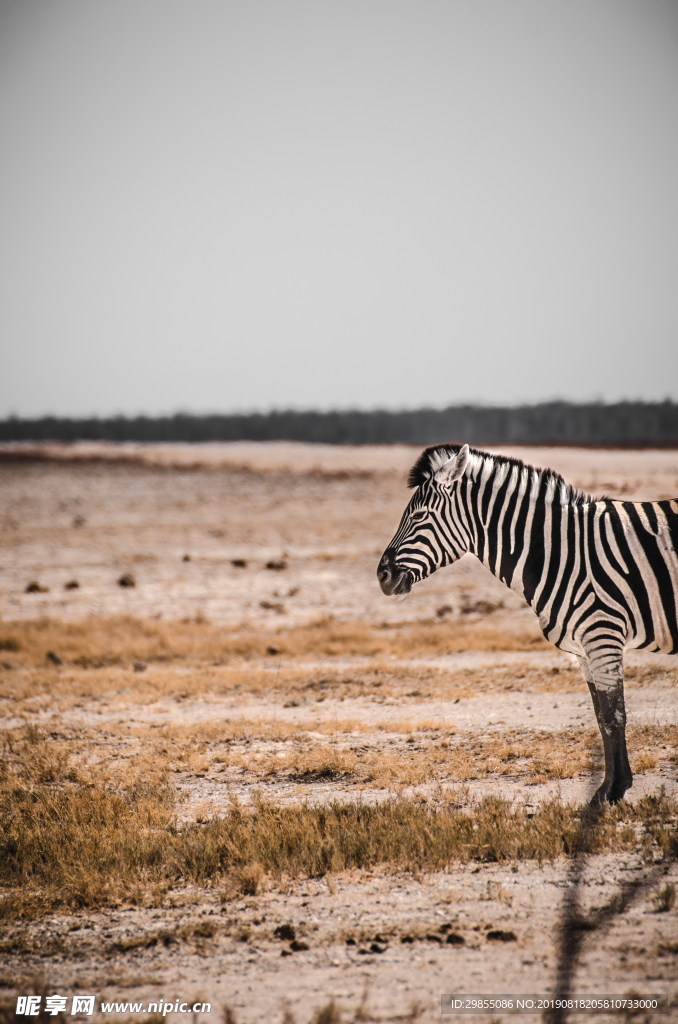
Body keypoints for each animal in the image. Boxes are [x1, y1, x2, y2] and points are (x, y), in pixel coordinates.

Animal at [376, 444, 678, 802]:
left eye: (419, 517)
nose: (382, 576)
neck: (561, 551)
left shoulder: (603, 635)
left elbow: (614, 715)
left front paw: (616, 789)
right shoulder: (584, 649)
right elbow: (600, 716)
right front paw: (606, 788)